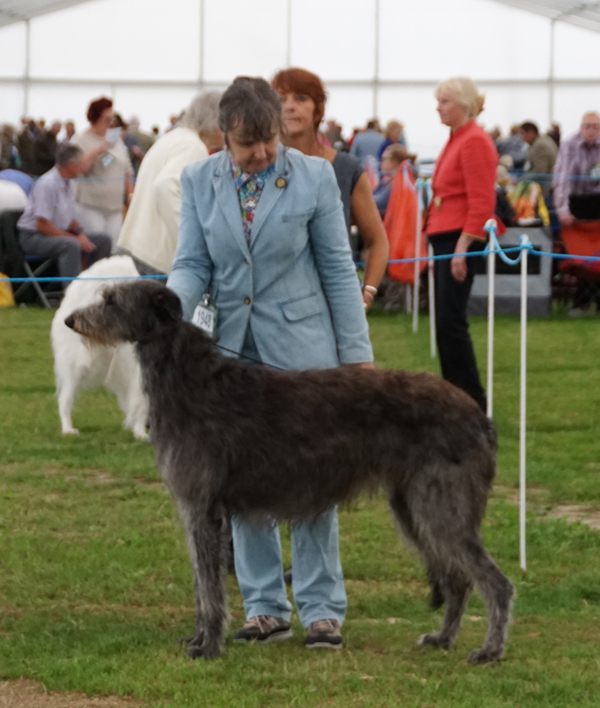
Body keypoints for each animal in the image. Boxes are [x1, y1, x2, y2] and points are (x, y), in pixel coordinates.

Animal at [67, 278, 516, 664]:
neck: (187, 378)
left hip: (440, 506)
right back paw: (443, 638)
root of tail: (480, 416)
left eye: (111, 300)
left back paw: (490, 650)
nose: (71, 320)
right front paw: (197, 637)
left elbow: (209, 589)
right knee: (459, 580)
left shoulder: (202, 508)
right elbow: (201, 583)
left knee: (495, 582)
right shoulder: (199, 511)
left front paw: (207, 646)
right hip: (413, 507)